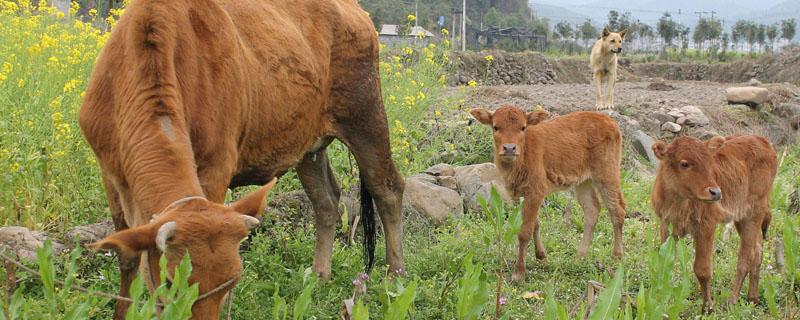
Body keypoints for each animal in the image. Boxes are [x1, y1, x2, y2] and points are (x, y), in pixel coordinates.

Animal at [79, 0, 406, 318]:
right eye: (170, 282)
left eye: (232, 280)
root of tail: (355, 10)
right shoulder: (110, 174)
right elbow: (127, 258)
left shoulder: (215, 168)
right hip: (308, 145)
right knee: (326, 200)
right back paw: (319, 275)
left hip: (365, 114)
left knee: (388, 188)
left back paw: (395, 275)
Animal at [472, 106, 628, 282]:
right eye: (495, 127)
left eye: (523, 127)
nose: (509, 148)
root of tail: (609, 121)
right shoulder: (523, 194)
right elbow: (535, 224)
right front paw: (541, 255)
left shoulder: (535, 191)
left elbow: (524, 232)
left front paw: (518, 273)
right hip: (583, 182)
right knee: (592, 209)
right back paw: (579, 256)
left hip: (607, 174)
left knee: (617, 209)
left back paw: (616, 255)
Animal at [652, 136, 780, 312]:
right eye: (684, 163)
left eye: (709, 162)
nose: (716, 192)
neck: (678, 203)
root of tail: (762, 140)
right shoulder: (667, 226)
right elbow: (666, 262)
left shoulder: (706, 226)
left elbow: (702, 270)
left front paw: (708, 308)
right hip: (742, 217)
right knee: (757, 251)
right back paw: (752, 298)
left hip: (754, 213)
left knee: (745, 258)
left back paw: (732, 301)